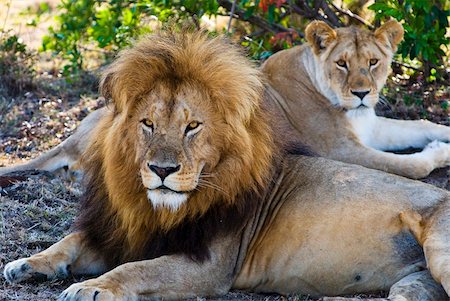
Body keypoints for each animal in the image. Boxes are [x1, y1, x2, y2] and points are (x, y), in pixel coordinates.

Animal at [262, 19, 450, 178]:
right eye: (341, 63)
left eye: (373, 62)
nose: (361, 93)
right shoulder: (337, 151)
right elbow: (413, 166)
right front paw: (441, 150)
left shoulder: (371, 127)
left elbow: (421, 124)